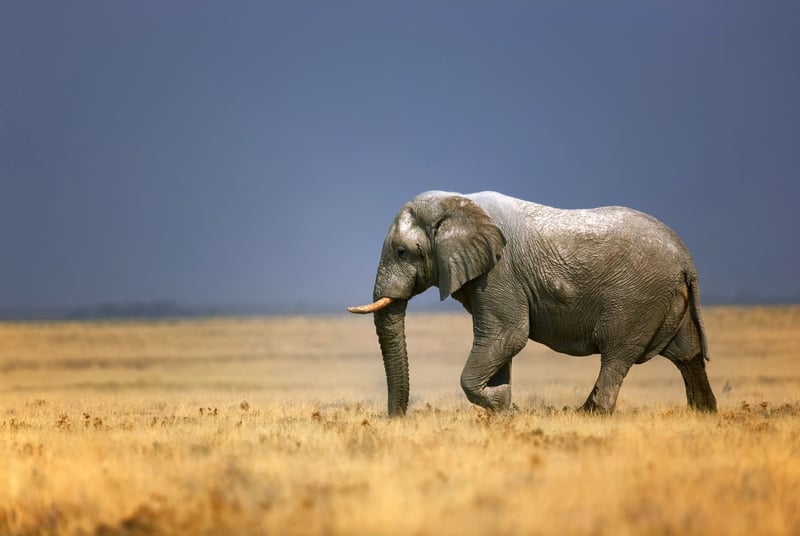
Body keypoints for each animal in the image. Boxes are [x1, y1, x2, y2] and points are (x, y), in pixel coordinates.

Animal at [350, 191, 720, 416]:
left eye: (402, 252)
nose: (397, 420)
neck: (457, 204)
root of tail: (686, 259)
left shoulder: (500, 272)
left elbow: (508, 336)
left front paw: (505, 406)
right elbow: (500, 344)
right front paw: (504, 407)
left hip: (636, 298)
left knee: (616, 355)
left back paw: (591, 415)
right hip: (666, 299)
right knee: (687, 355)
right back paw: (702, 414)